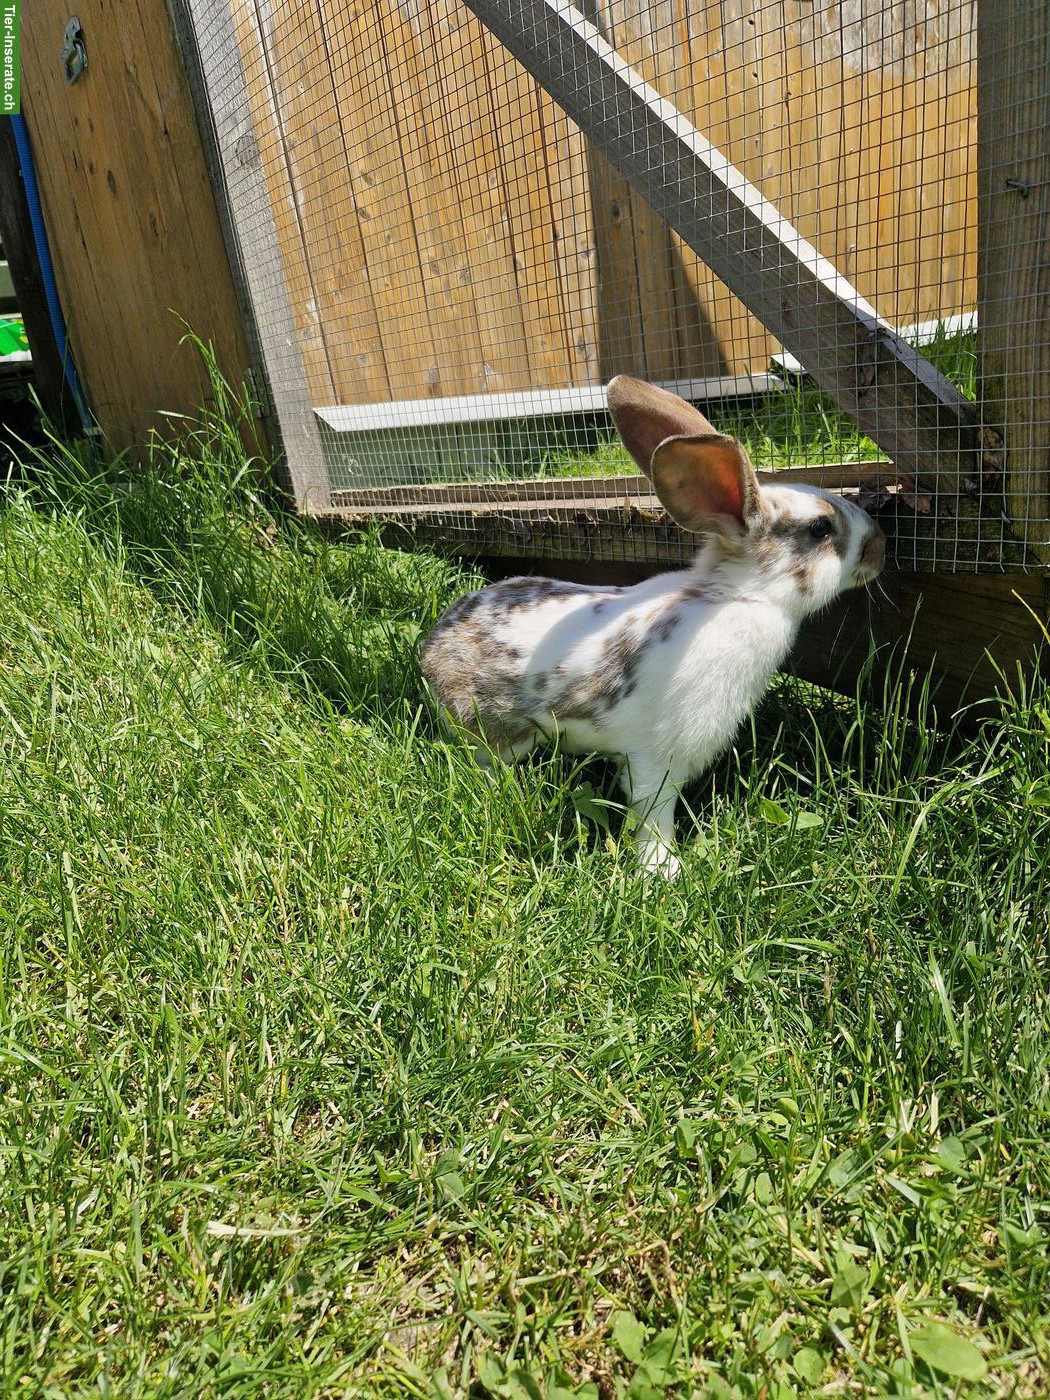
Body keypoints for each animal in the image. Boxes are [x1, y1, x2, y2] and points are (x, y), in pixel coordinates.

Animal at [420, 376, 886, 878]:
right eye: (820, 529)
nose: (881, 545)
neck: (735, 598)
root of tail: (433, 645)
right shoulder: (654, 759)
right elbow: (653, 812)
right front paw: (663, 872)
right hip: (494, 732)